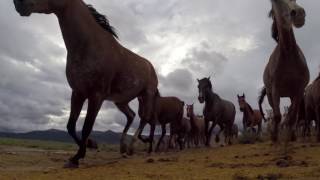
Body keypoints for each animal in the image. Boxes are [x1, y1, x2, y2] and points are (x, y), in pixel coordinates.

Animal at [13, 0, 159, 168]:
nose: (18, 3)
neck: (89, 45)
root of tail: (151, 66)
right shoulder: (78, 93)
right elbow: (70, 125)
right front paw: (90, 145)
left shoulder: (96, 96)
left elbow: (86, 127)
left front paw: (77, 157)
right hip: (121, 101)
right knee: (131, 115)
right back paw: (123, 147)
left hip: (146, 95)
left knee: (145, 119)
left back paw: (132, 147)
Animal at [258, 0, 310, 143]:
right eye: (275, 1)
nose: (299, 14)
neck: (288, 55)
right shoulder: (275, 89)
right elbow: (277, 115)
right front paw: (275, 137)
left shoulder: (299, 90)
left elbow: (292, 116)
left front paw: (290, 136)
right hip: (271, 95)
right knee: (276, 114)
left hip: (292, 95)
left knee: (292, 114)